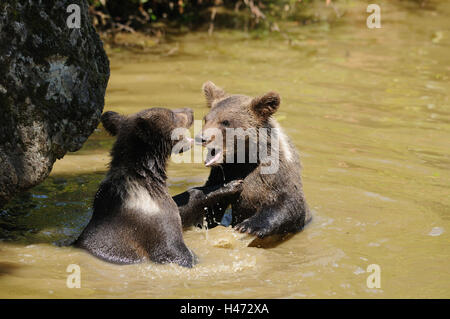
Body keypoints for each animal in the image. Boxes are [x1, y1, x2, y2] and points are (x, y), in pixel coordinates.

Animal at [178, 82, 312, 240]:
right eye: (206, 118)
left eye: (225, 121)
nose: (202, 138)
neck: (245, 159)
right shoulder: (222, 172)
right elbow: (209, 209)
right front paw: (227, 187)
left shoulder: (276, 176)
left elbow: (290, 204)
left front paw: (248, 226)